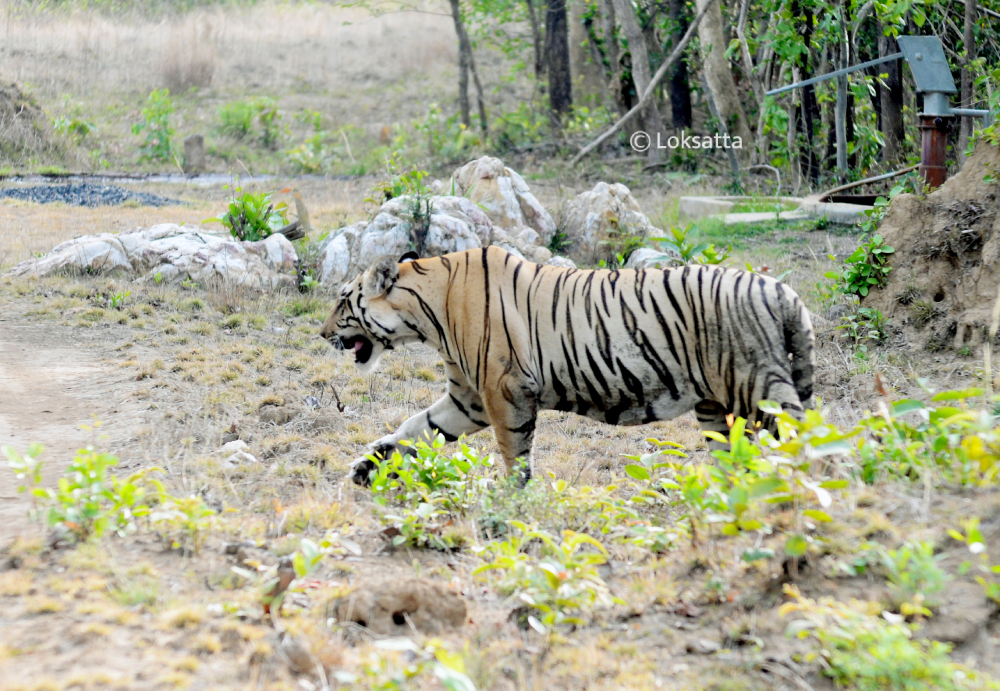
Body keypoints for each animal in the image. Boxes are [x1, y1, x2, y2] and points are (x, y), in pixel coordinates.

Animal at [320, 247, 812, 486]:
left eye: (342, 301)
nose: (322, 333)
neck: (427, 313)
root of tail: (782, 290)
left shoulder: (505, 390)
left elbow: (515, 453)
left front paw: (514, 501)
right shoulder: (467, 399)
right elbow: (414, 429)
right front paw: (366, 469)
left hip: (759, 386)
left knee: (804, 438)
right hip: (717, 408)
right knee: (739, 457)